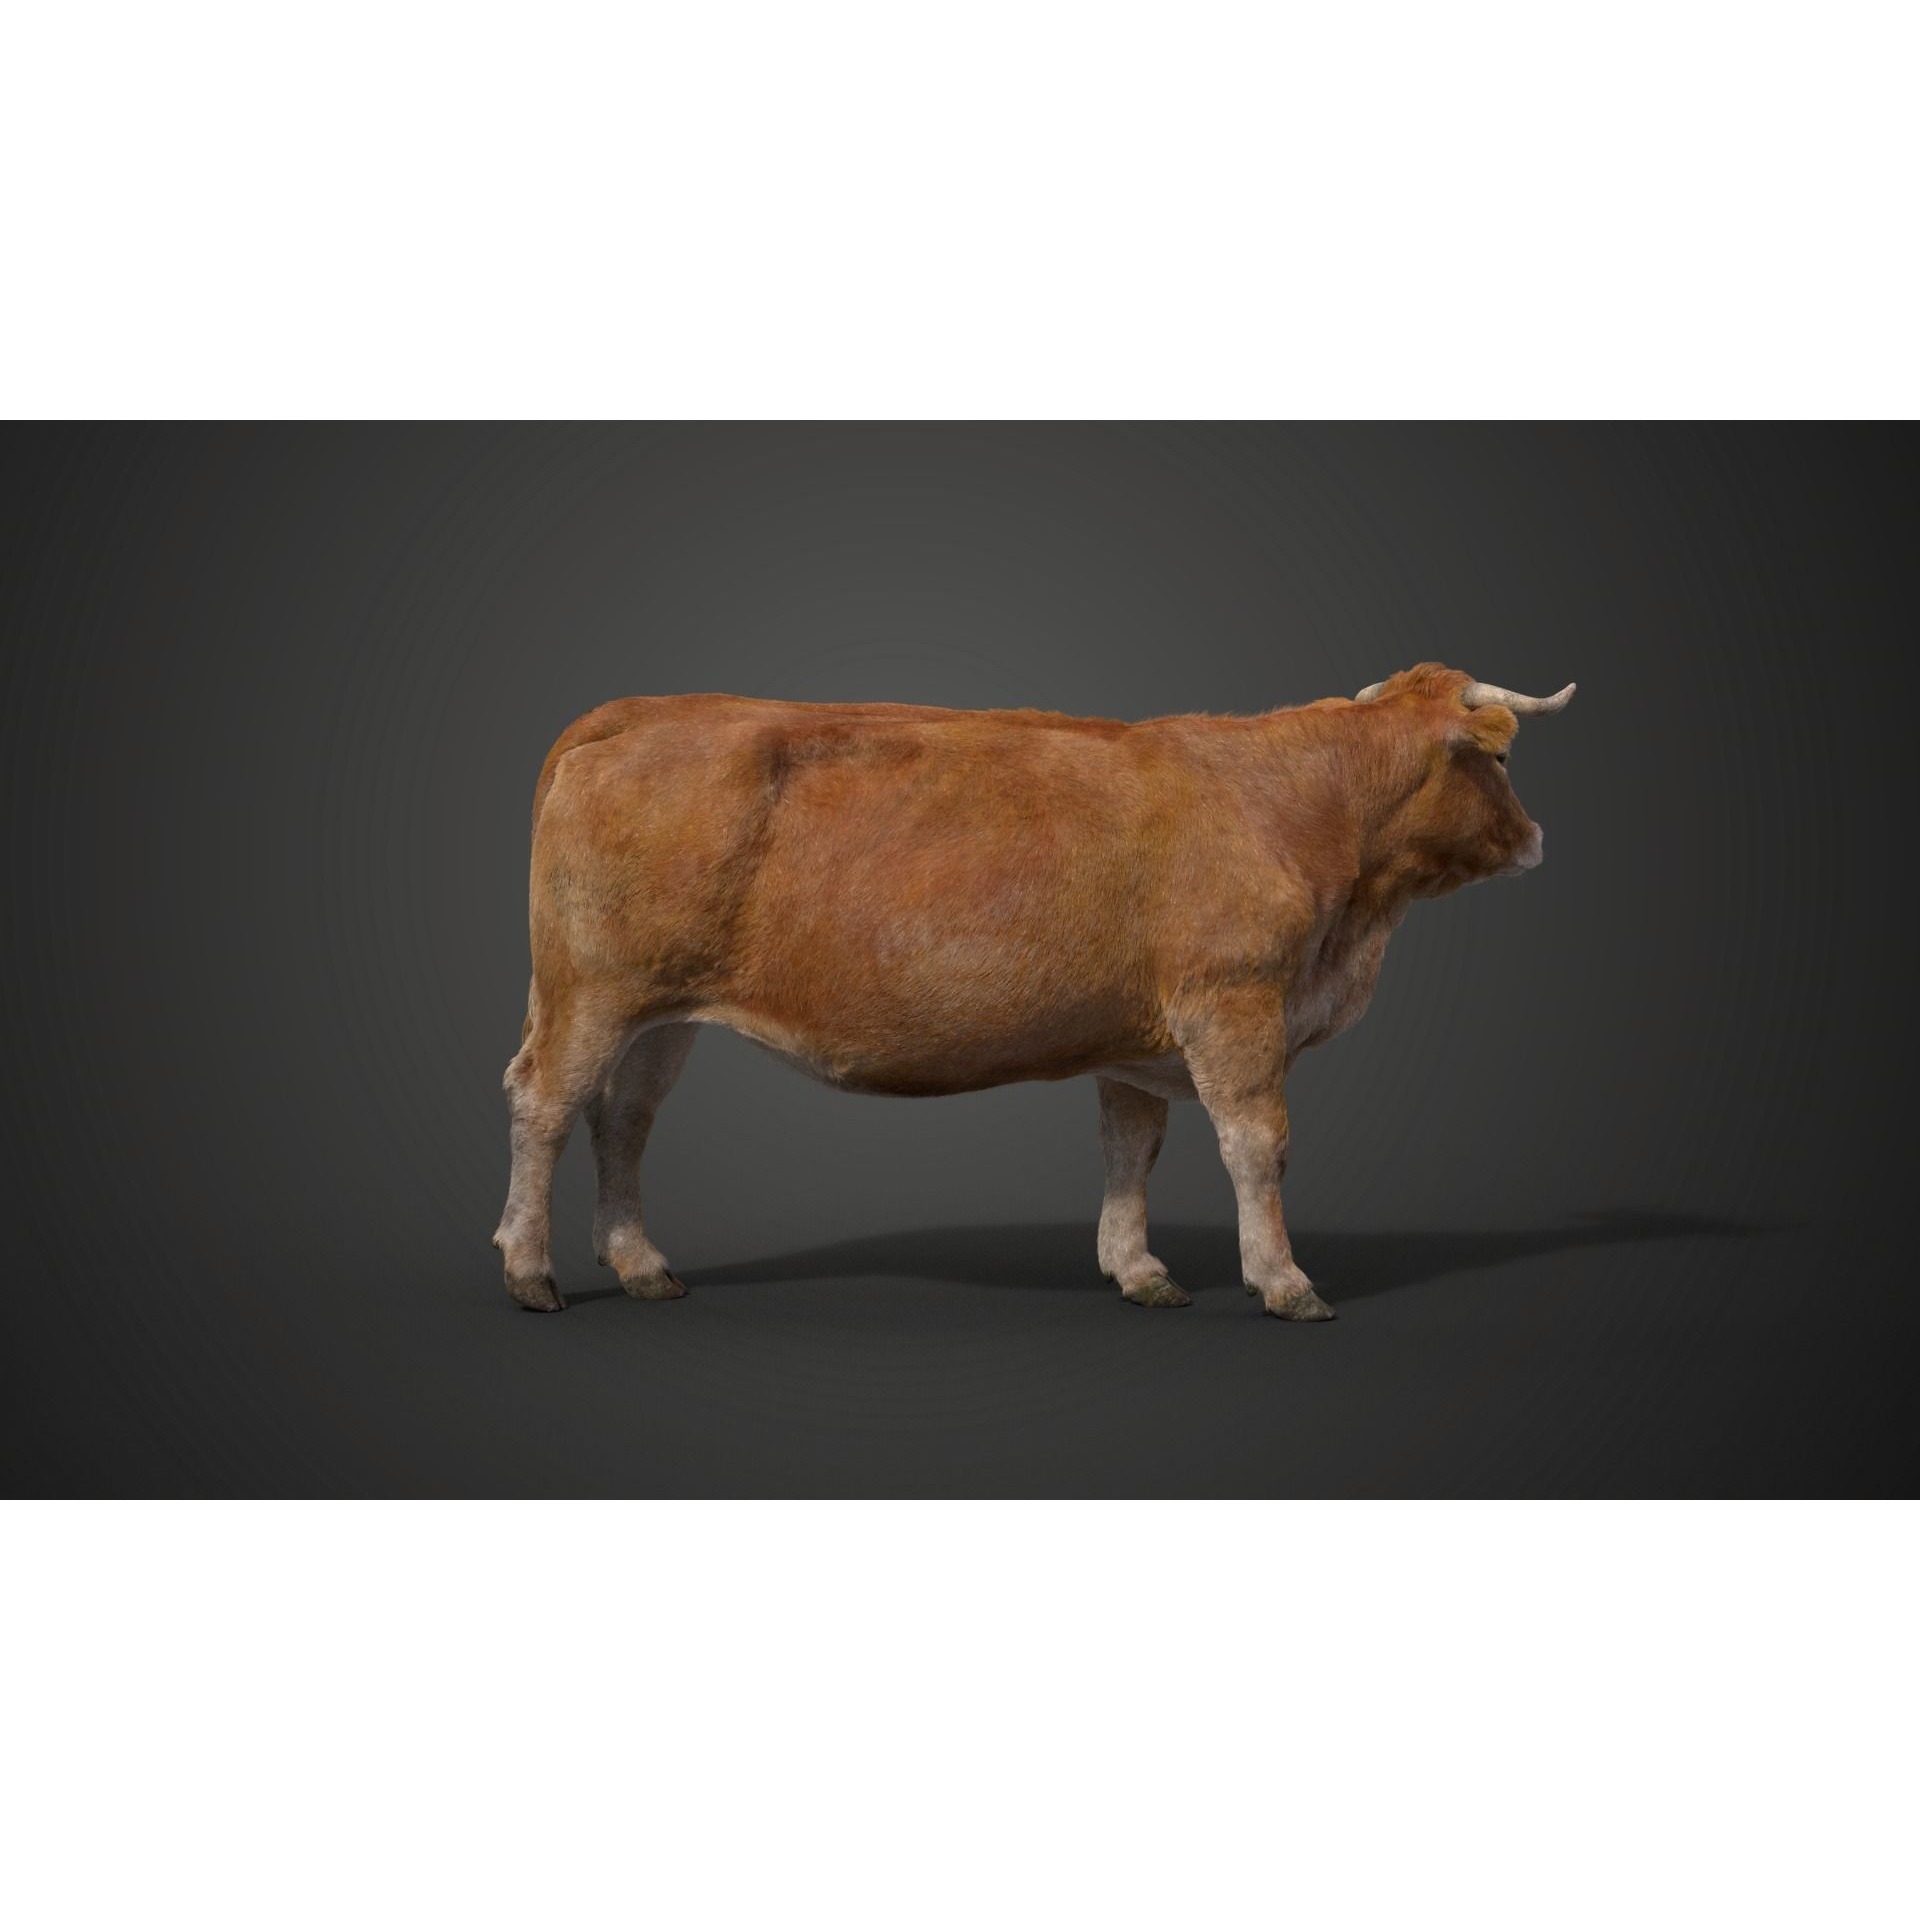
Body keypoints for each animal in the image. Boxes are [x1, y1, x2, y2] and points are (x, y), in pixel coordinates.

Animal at [493, 663, 1575, 1320]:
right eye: (1501, 758)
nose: (1536, 841)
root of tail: (644, 710)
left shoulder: (1140, 1038)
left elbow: (1133, 1149)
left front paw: (1138, 1270)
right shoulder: (1234, 1004)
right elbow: (1257, 1146)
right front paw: (1284, 1280)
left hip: (659, 1013)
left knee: (624, 1117)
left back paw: (641, 1265)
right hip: (592, 992)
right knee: (545, 1103)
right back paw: (530, 1271)